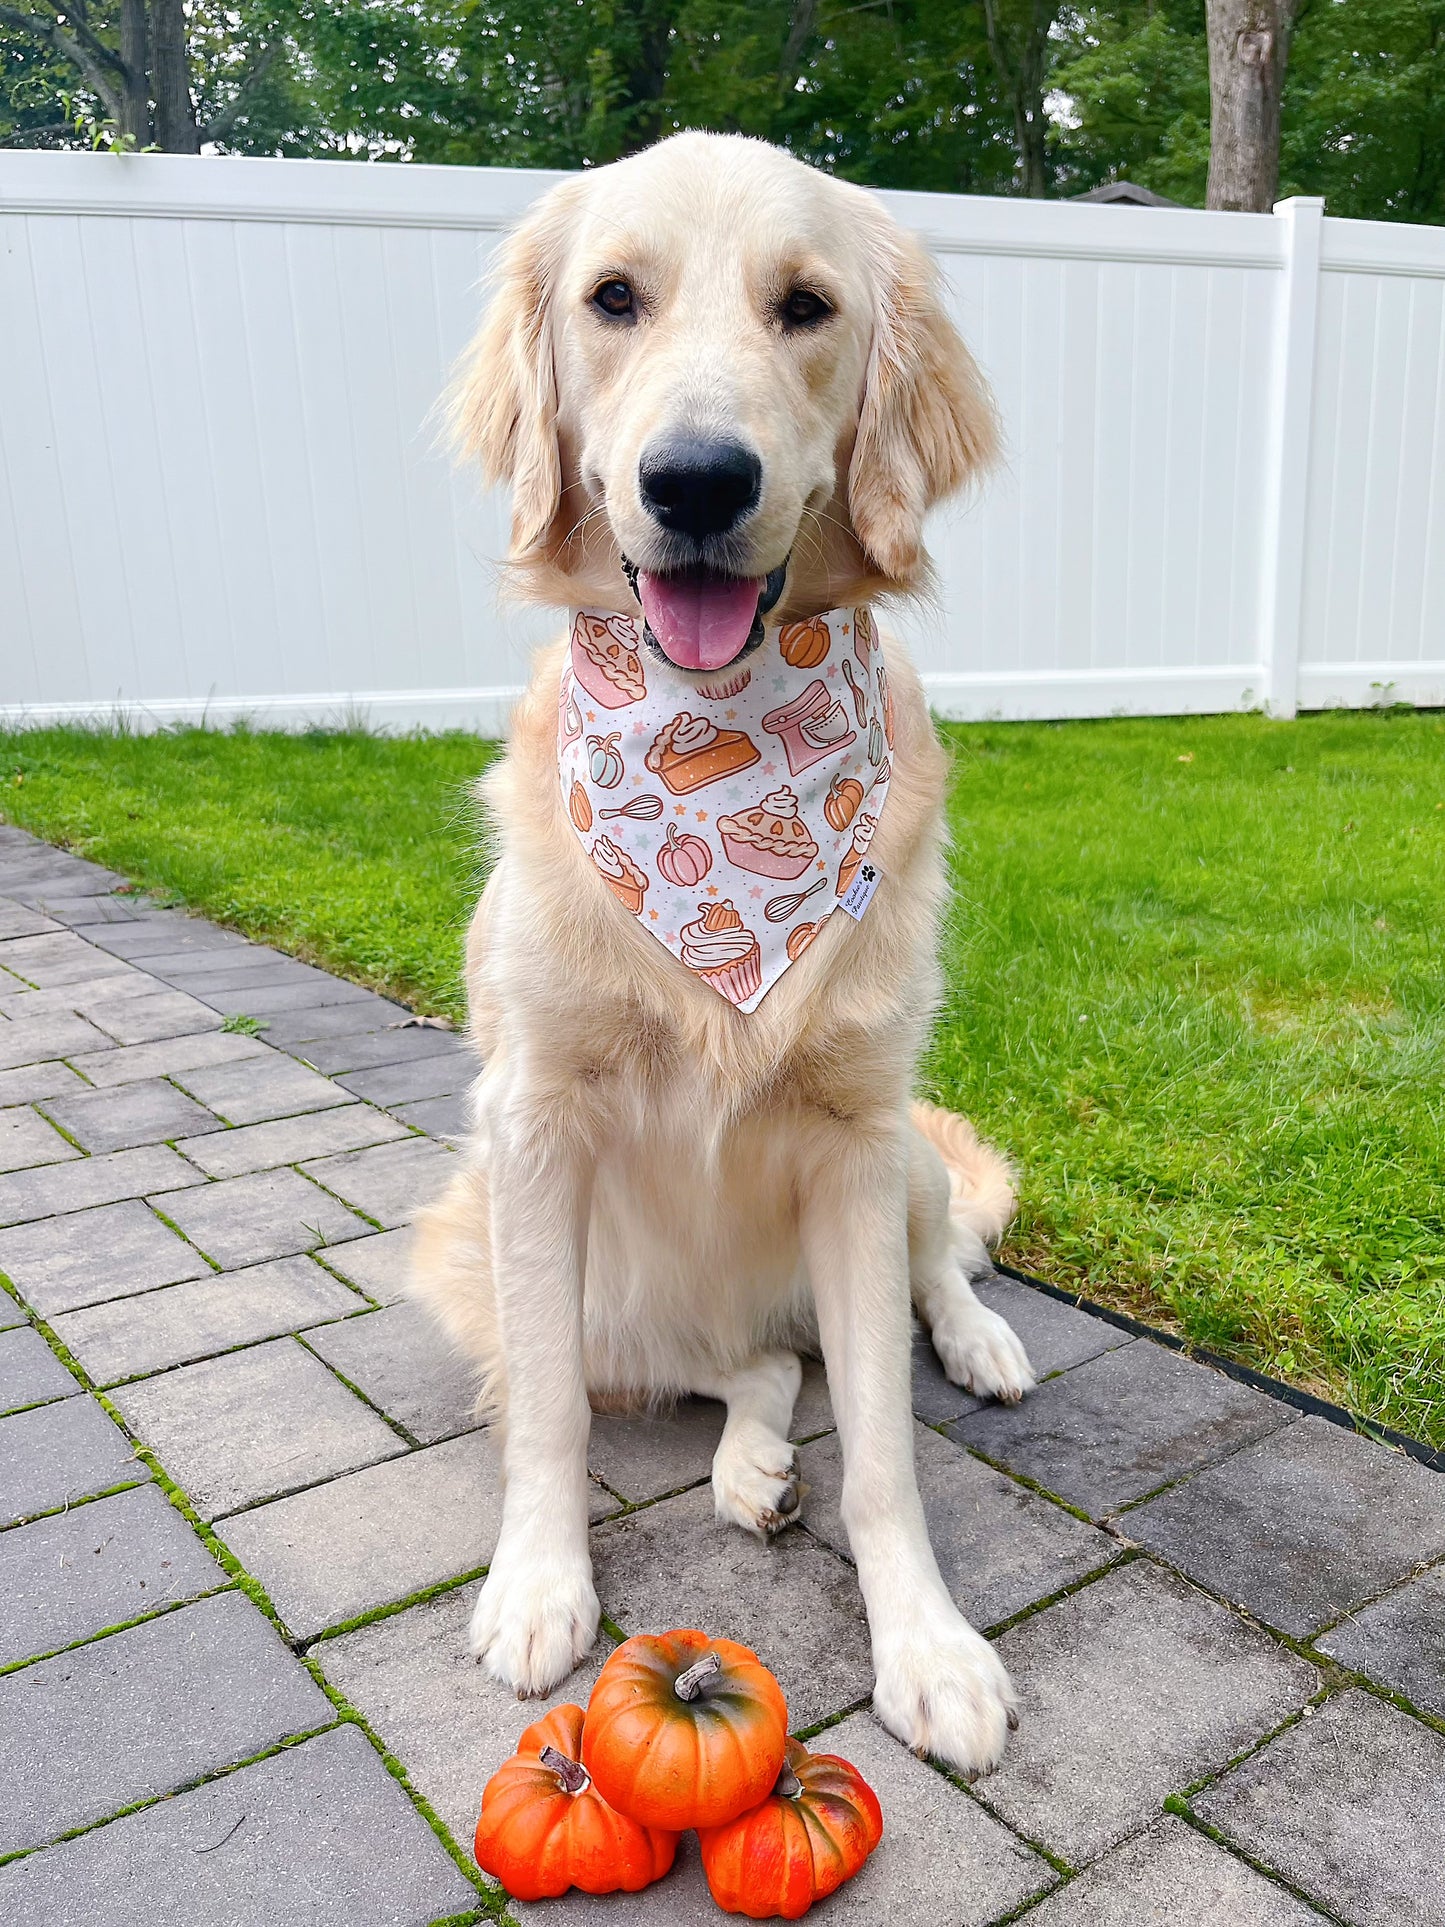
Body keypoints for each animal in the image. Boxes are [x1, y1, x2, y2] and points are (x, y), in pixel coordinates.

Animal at [412, 124, 1032, 1772]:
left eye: (805, 306)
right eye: (612, 298)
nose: (695, 480)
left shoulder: (857, 1135)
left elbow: (883, 1441)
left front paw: (928, 1646)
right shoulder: (532, 1128)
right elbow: (550, 1413)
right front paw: (538, 1582)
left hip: (904, 1160)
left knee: (923, 1272)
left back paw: (978, 1342)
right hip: (541, 1272)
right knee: (749, 1359)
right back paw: (751, 1462)